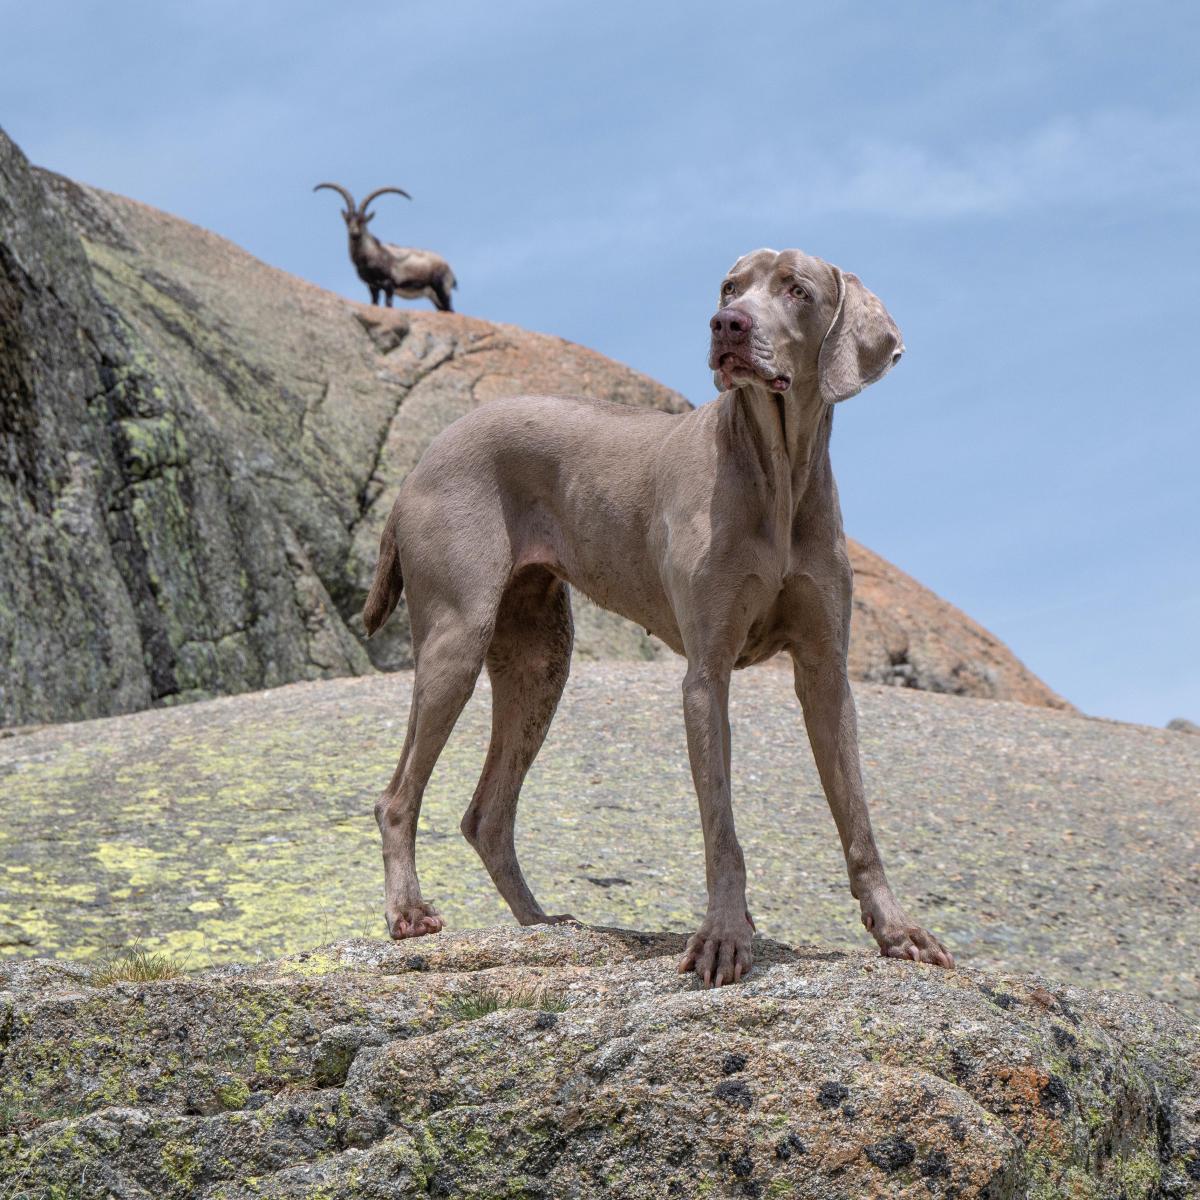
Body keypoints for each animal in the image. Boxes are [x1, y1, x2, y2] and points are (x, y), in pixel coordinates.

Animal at [364, 246, 955, 984]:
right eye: (730, 287)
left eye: (797, 289)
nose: (728, 324)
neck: (777, 471)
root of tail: (422, 460)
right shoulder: (706, 674)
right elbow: (721, 827)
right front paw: (725, 939)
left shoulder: (827, 673)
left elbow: (859, 820)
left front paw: (898, 931)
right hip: (458, 637)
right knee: (398, 796)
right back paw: (408, 913)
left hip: (540, 660)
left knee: (487, 815)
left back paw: (543, 925)